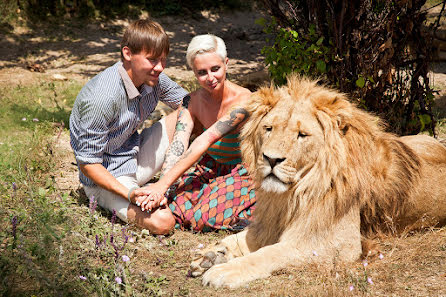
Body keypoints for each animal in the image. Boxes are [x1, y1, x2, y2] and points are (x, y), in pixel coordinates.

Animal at [188, 74, 446, 286]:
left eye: (302, 135)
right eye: (268, 128)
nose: (271, 159)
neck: (291, 194)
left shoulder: (337, 246)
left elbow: (270, 253)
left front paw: (224, 270)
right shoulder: (269, 222)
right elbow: (240, 239)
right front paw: (210, 255)